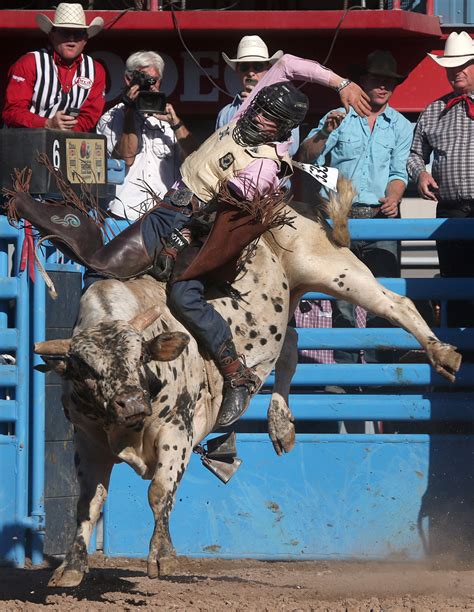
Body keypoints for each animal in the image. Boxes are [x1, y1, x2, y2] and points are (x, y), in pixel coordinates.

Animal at [32, 178, 460, 588]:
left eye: (140, 356)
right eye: (85, 368)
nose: (133, 404)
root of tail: (287, 204)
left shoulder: (178, 433)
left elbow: (158, 491)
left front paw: (163, 556)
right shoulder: (88, 444)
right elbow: (87, 503)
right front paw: (71, 567)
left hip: (333, 269)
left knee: (395, 304)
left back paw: (443, 354)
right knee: (291, 347)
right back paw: (281, 425)